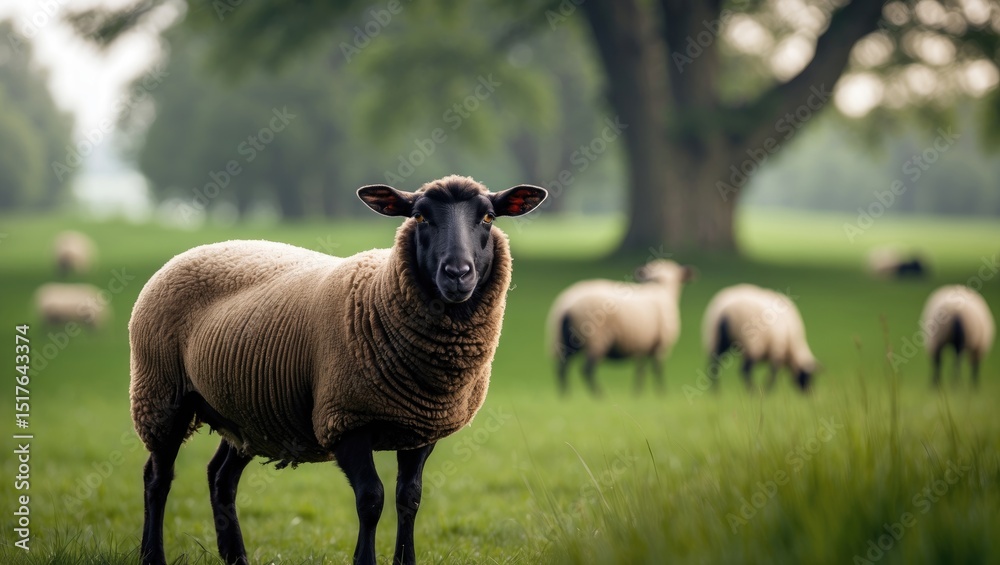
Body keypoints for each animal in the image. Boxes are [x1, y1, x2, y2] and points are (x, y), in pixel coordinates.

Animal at [128, 175, 546, 565]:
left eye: (488, 217)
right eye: (420, 216)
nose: (458, 273)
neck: (380, 295)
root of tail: (194, 250)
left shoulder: (420, 427)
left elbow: (409, 499)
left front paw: (404, 559)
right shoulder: (344, 420)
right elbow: (371, 499)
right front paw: (365, 560)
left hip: (246, 414)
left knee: (220, 478)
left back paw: (236, 557)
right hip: (160, 395)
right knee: (157, 478)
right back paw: (153, 555)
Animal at [547, 260, 695, 396]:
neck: (661, 289)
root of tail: (567, 307)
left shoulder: (642, 343)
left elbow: (640, 369)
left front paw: (637, 394)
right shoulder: (661, 345)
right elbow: (657, 369)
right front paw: (661, 393)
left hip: (565, 341)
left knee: (562, 367)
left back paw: (565, 396)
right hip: (595, 339)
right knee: (587, 369)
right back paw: (599, 396)